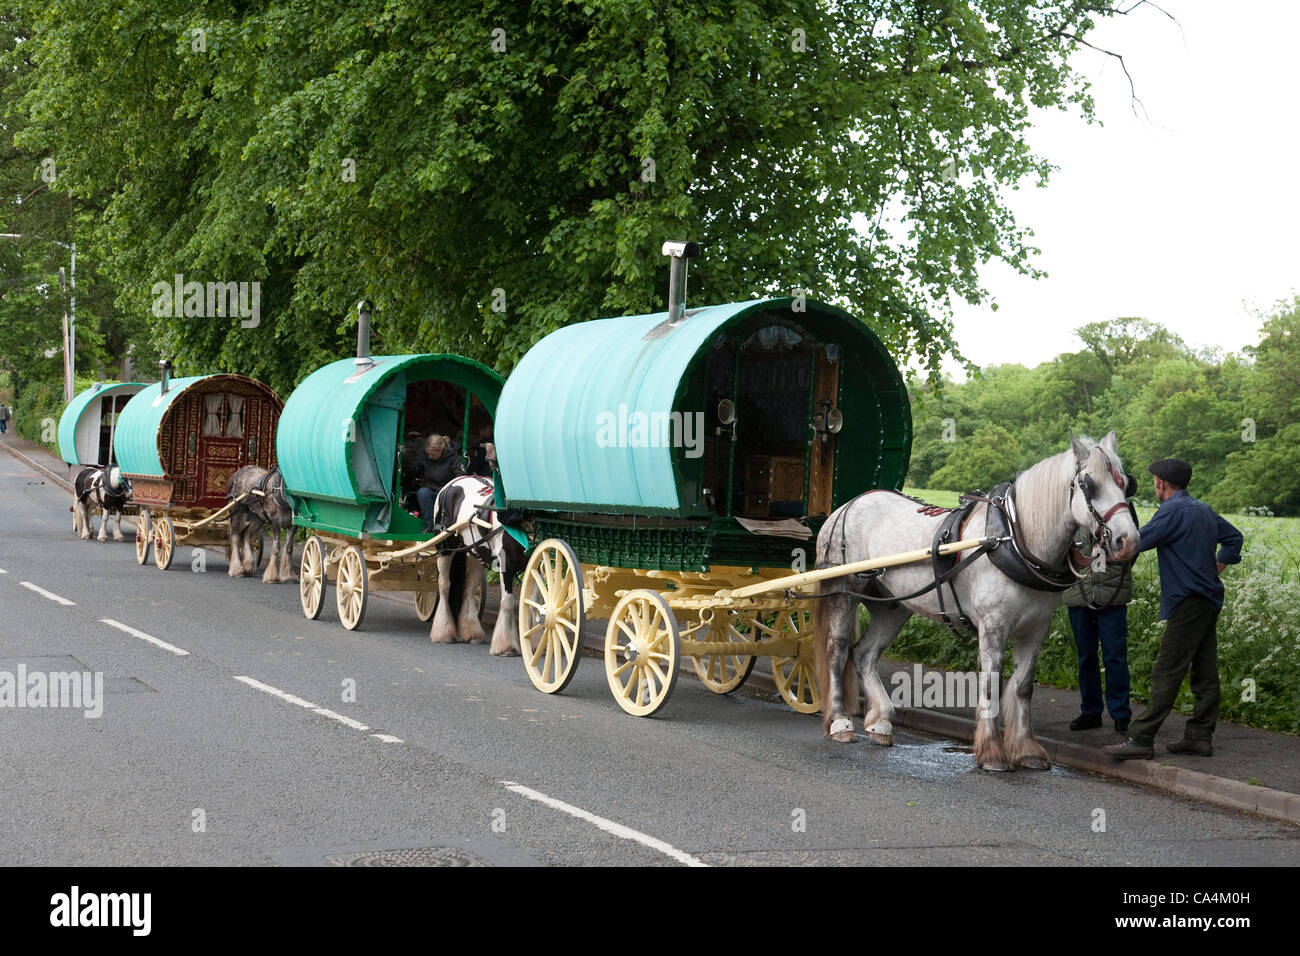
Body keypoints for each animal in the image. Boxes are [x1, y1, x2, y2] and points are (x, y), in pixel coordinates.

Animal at [816, 431, 1144, 770]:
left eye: (1126, 484)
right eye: (1089, 484)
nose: (1128, 541)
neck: (1013, 538)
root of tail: (847, 505)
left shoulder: (1036, 628)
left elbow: (1023, 686)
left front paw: (1026, 750)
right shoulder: (993, 624)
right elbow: (991, 682)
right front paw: (992, 752)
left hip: (893, 606)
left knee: (864, 653)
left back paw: (881, 721)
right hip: (843, 590)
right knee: (838, 649)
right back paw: (840, 721)